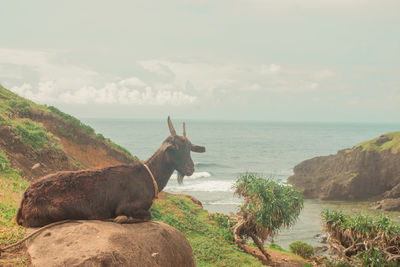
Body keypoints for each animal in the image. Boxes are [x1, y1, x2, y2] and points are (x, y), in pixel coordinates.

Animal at [16, 118, 205, 228]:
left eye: (190, 147)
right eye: (174, 148)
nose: (190, 169)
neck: (148, 175)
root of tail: (26, 195)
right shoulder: (127, 206)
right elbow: (147, 215)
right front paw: (122, 219)